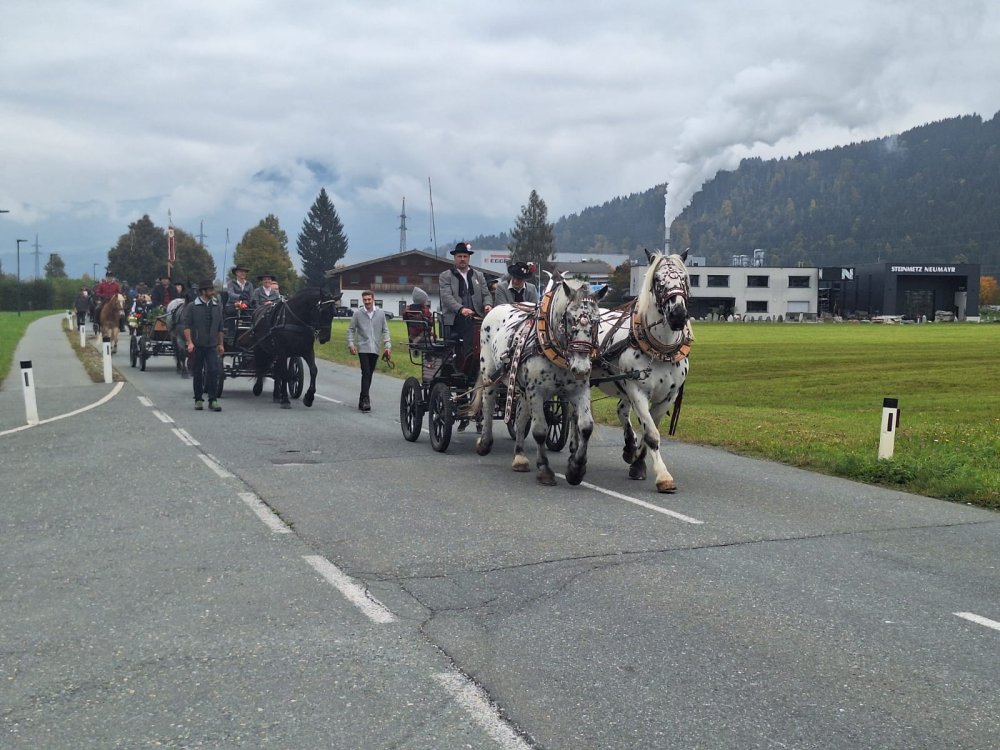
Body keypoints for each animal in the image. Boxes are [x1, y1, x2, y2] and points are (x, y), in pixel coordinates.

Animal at [471, 278, 607, 486]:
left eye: (597, 320)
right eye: (569, 319)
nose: (582, 368)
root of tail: (496, 308)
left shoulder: (579, 390)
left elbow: (585, 427)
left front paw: (576, 469)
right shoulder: (537, 392)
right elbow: (540, 430)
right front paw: (545, 470)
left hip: (522, 389)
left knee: (520, 417)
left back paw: (519, 456)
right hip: (490, 375)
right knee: (488, 404)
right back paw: (485, 443)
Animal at [592, 249, 692, 493]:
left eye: (685, 278)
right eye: (657, 280)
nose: (678, 315)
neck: (661, 350)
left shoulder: (667, 396)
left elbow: (650, 430)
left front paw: (637, 461)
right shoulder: (638, 391)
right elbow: (651, 434)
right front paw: (663, 476)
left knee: (621, 410)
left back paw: (629, 447)